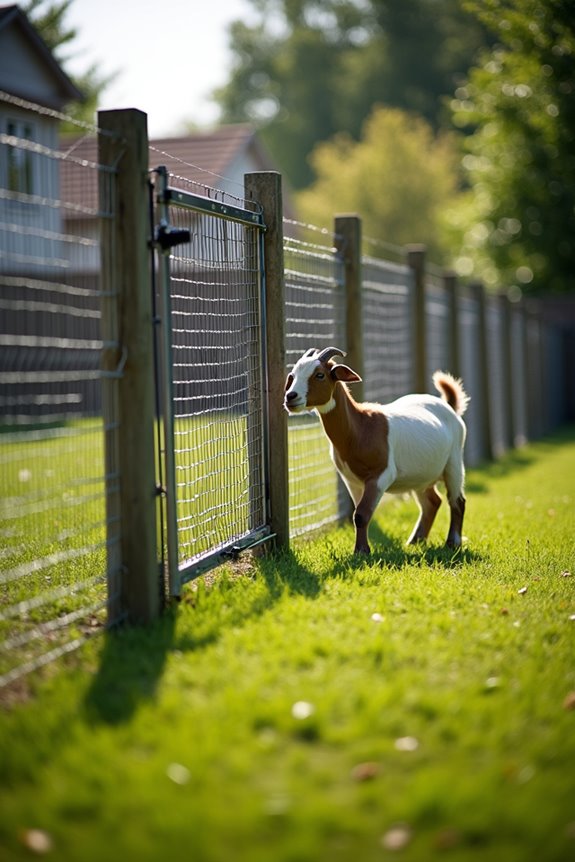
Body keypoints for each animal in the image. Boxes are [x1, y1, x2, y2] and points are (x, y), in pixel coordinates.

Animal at [284, 346, 470, 554]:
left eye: (320, 374)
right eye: (292, 375)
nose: (291, 397)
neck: (360, 427)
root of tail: (449, 407)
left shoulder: (381, 474)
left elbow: (362, 514)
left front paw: (361, 551)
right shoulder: (351, 480)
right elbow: (358, 515)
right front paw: (361, 550)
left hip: (454, 462)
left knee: (457, 501)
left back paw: (453, 542)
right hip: (421, 475)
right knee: (432, 502)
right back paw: (415, 541)